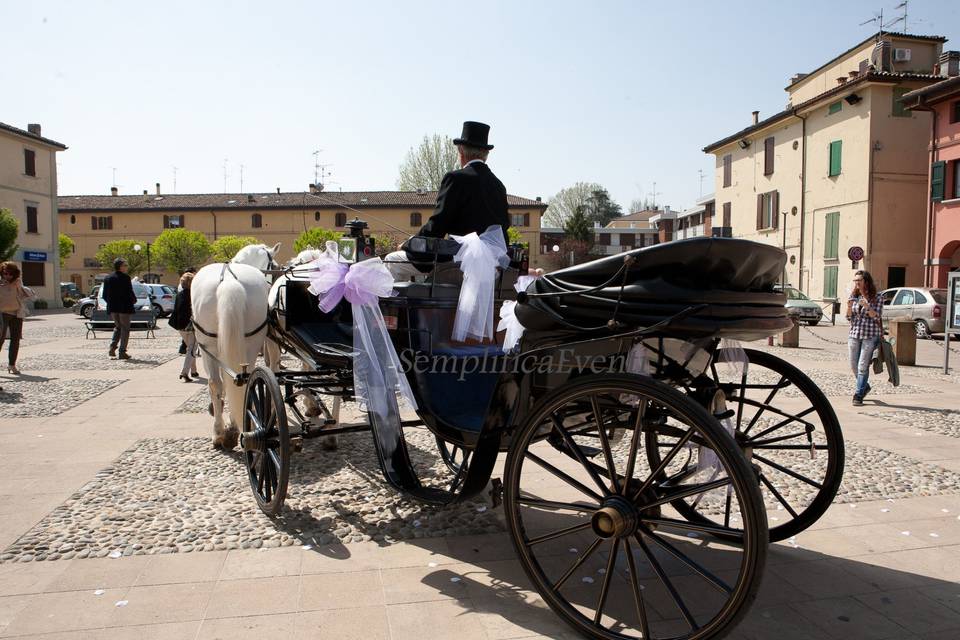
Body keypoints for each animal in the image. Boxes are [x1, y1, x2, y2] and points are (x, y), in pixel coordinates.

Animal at [191, 242, 280, 448]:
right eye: (273, 265)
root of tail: (229, 282)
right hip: (250, 342)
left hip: (209, 348)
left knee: (219, 382)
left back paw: (221, 433)